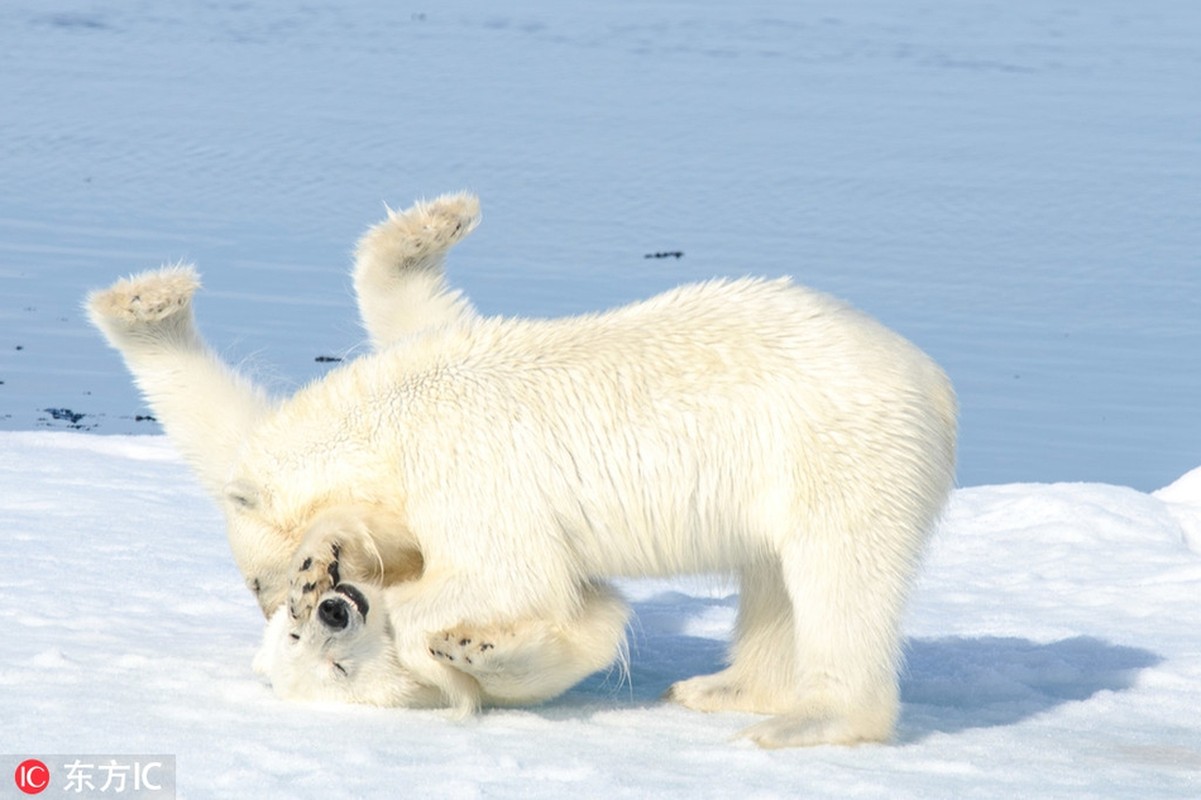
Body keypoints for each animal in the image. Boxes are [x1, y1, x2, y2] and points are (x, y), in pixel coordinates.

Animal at [87, 189, 955, 744]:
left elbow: (509, 571)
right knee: (772, 580)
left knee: (836, 576)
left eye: (262, 583)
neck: (391, 418)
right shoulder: (435, 363)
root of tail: (931, 383)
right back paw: (725, 687)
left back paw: (807, 719)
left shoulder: (464, 461)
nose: (303, 603)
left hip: (836, 452)